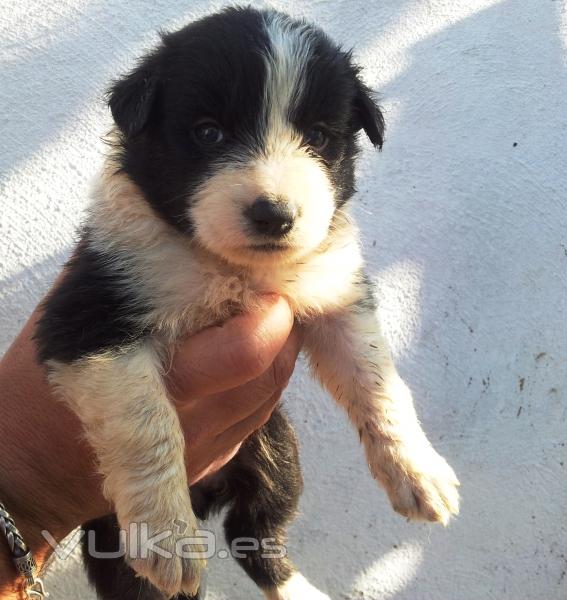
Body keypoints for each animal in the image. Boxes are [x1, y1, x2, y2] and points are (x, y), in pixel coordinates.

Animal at [35, 5, 460, 600]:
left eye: (318, 136)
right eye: (209, 132)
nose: (273, 215)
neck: (231, 268)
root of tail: (209, 493)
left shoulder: (334, 298)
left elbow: (377, 383)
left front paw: (419, 472)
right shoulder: (90, 319)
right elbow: (146, 422)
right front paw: (167, 537)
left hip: (278, 453)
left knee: (255, 534)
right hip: (110, 532)